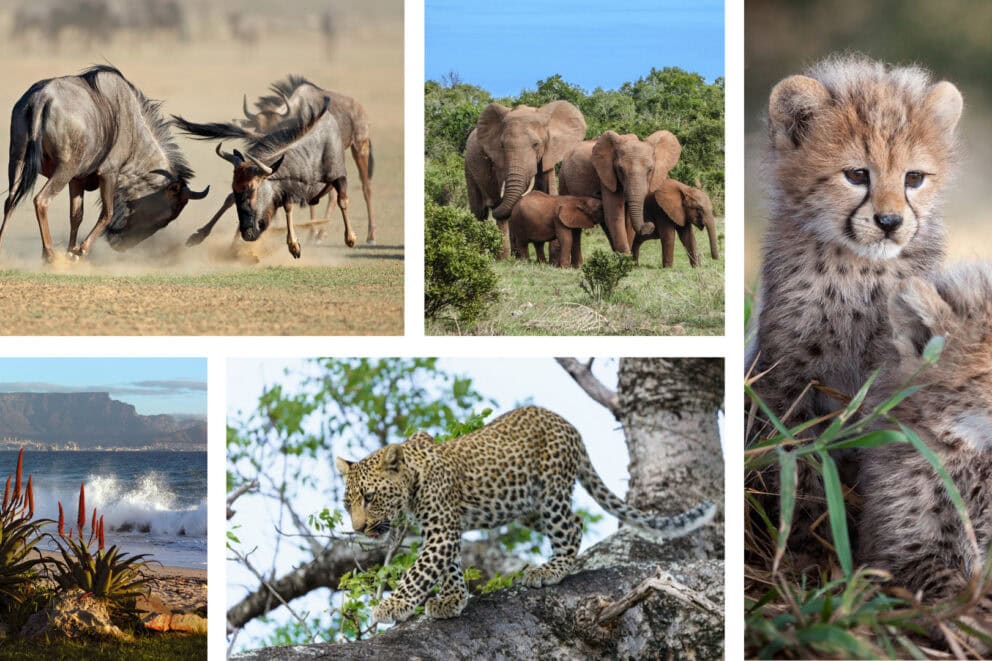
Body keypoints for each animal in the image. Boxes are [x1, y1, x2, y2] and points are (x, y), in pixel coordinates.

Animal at [334, 405, 716, 624]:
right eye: (348, 504)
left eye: (370, 497)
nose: (359, 528)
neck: (413, 479)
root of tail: (569, 426)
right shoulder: (444, 531)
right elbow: (450, 567)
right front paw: (453, 600)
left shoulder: (441, 529)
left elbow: (419, 572)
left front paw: (392, 606)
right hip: (524, 504)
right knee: (574, 522)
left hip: (550, 494)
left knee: (571, 527)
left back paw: (550, 570)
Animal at [464, 101, 586, 259]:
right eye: (502, 146)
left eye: (536, 145)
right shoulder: (500, 163)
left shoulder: (549, 155)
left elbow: (550, 191)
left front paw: (554, 258)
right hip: (468, 167)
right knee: (480, 212)